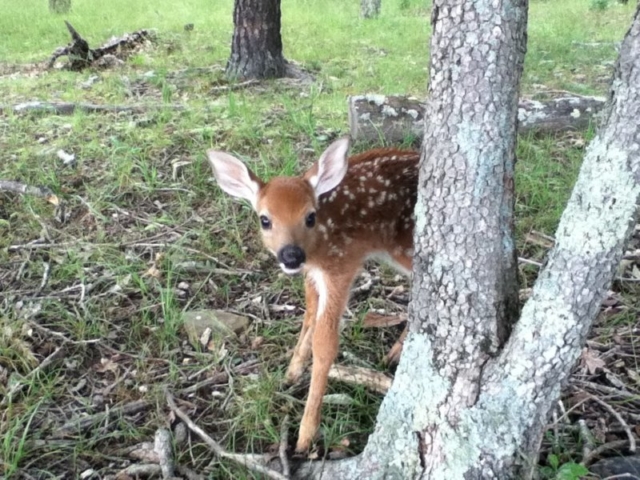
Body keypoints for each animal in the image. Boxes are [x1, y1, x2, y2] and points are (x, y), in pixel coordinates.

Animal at [206, 136, 418, 453]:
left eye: (310, 217)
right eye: (265, 220)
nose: (291, 255)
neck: (319, 245)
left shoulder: (342, 265)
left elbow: (325, 342)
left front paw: (305, 436)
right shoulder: (313, 273)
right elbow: (308, 316)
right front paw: (291, 374)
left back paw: (394, 354)